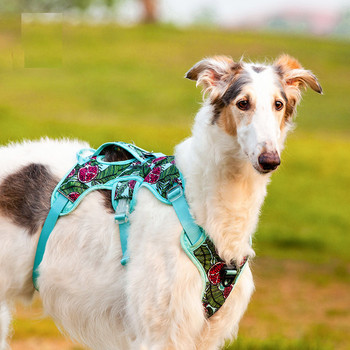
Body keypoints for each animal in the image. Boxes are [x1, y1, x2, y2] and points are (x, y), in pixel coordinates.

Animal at [0, 55, 322, 350]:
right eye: (243, 103)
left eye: (278, 104)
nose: (269, 160)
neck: (195, 202)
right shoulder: (162, 328)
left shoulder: (205, 331)